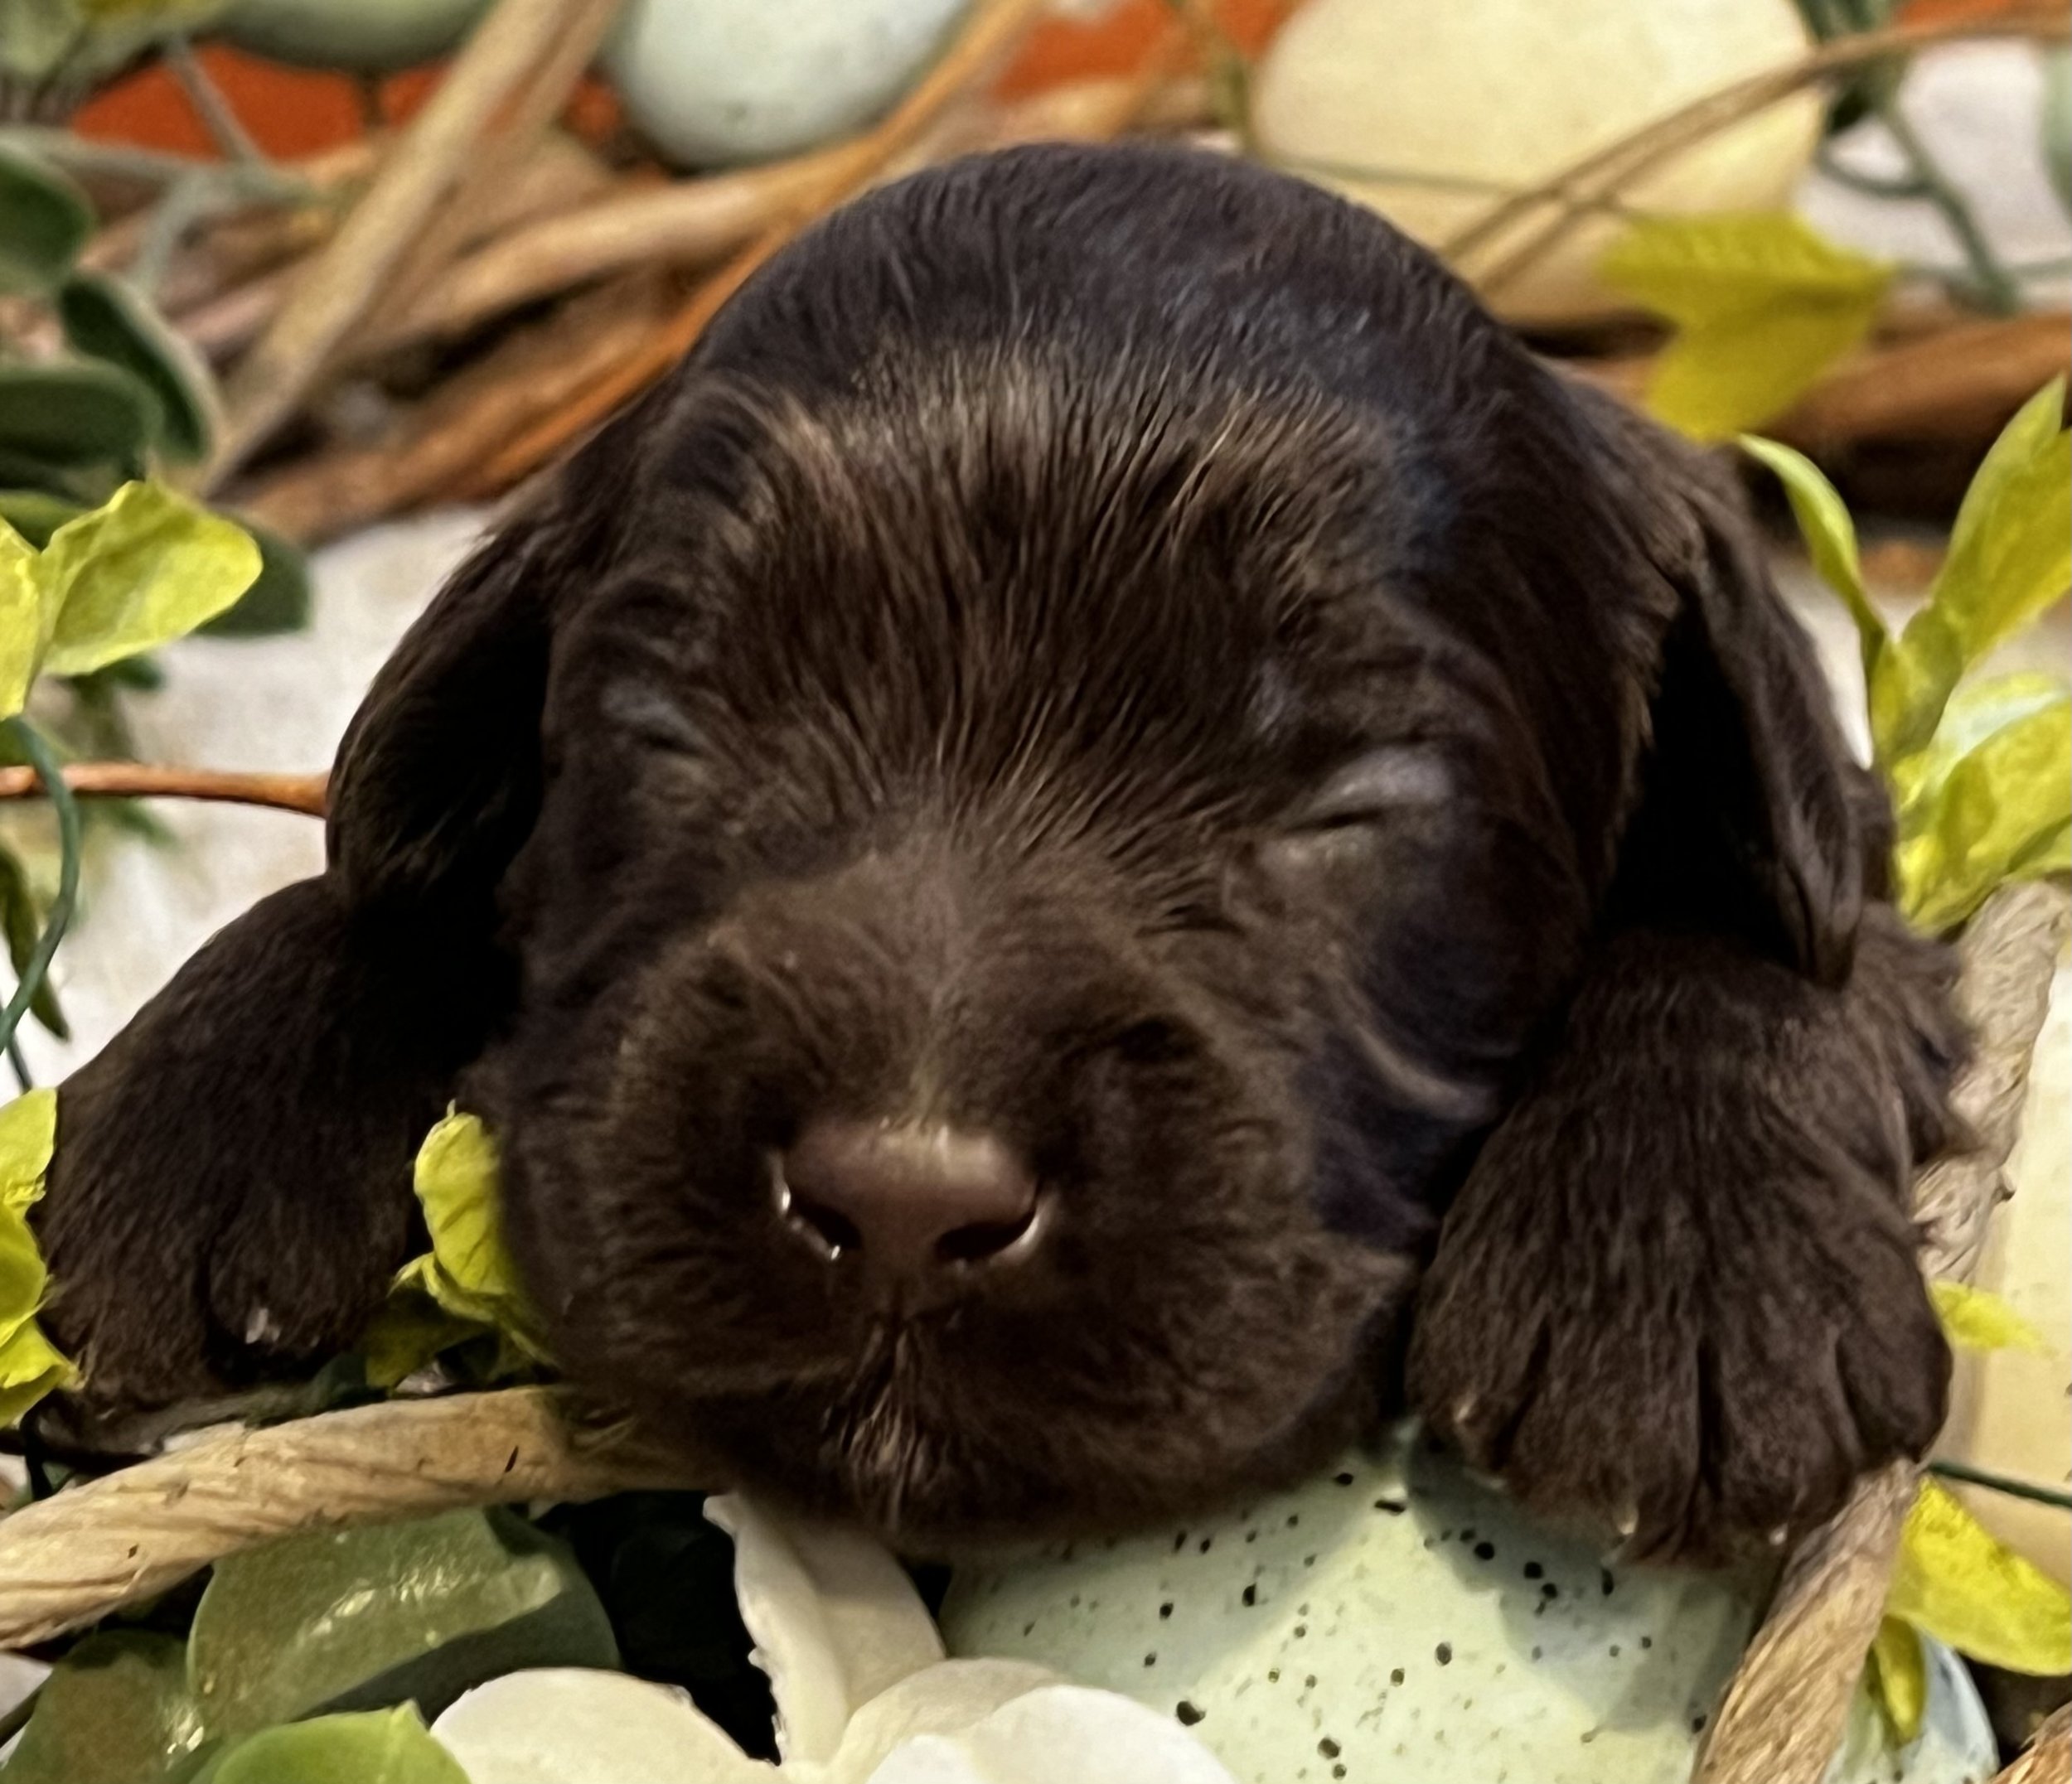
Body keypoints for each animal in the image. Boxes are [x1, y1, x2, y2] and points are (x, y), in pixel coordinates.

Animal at [44, 143, 1956, 1558]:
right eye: (668, 720)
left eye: (1355, 797)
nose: (901, 1200)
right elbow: (380, 866)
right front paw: (186, 1120)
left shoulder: (1852, 860)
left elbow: (1773, 934)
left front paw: (1680, 1266)